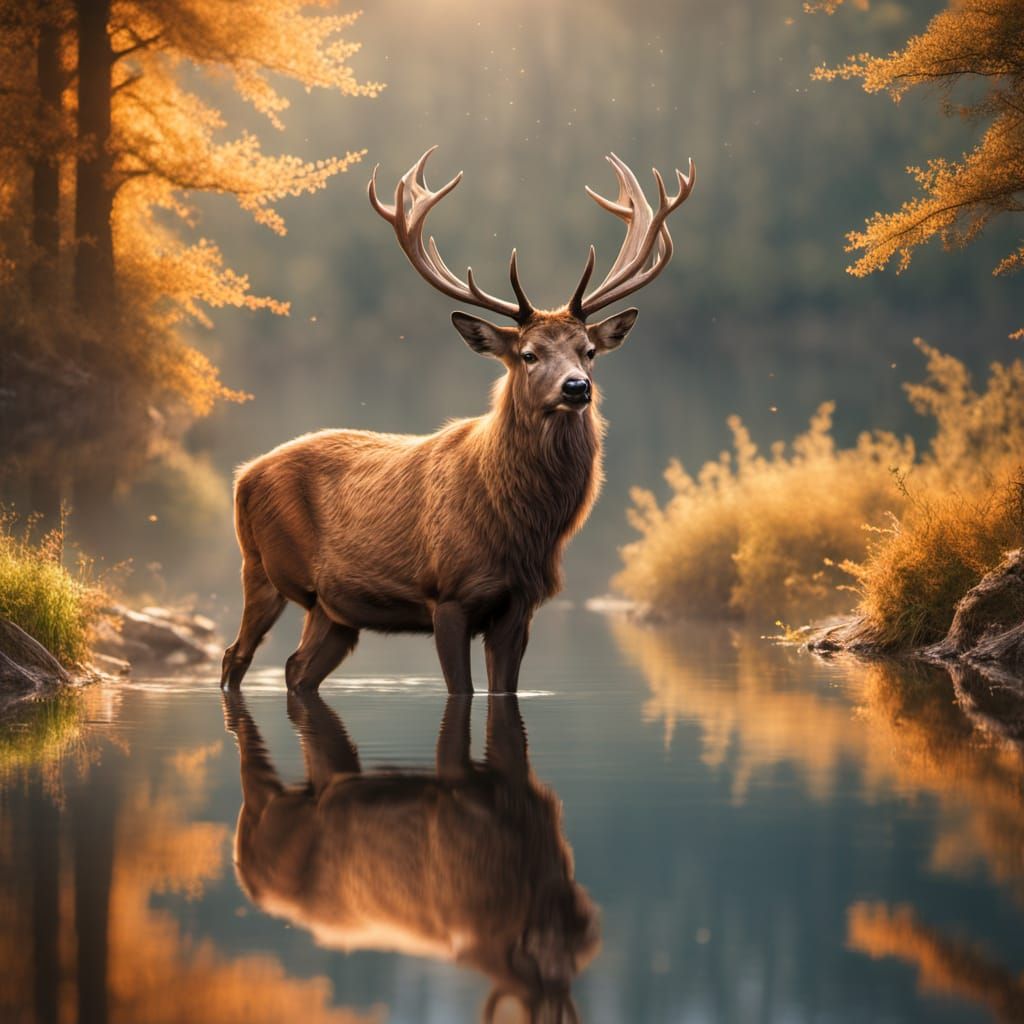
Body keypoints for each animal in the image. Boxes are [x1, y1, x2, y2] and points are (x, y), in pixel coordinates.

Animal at [221, 147, 695, 693]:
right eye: (528, 354)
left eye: (589, 351)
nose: (577, 388)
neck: (521, 524)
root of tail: (242, 476)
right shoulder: (447, 593)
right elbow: (461, 691)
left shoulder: (520, 604)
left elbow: (503, 689)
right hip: (260, 566)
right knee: (235, 655)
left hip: (335, 609)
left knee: (297, 669)